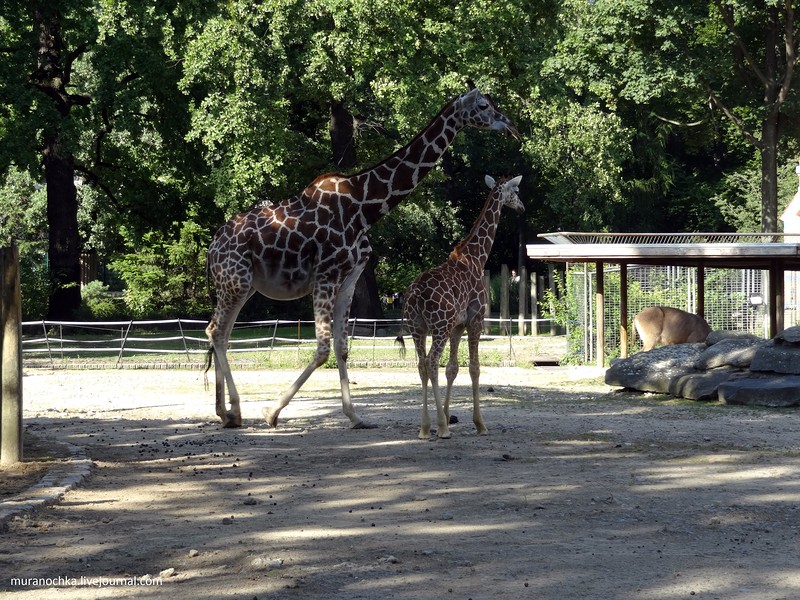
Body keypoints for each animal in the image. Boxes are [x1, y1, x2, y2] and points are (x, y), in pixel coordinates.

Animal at [400, 176, 524, 438]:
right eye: (516, 190)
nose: (522, 207)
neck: (477, 257)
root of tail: (414, 296)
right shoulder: (476, 319)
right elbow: (475, 368)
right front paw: (479, 424)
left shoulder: (457, 325)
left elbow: (453, 368)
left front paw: (448, 415)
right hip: (439, 325)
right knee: (431, 362)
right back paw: (440, 428)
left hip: (417, 327)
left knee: (421, 364)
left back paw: (425, 427)